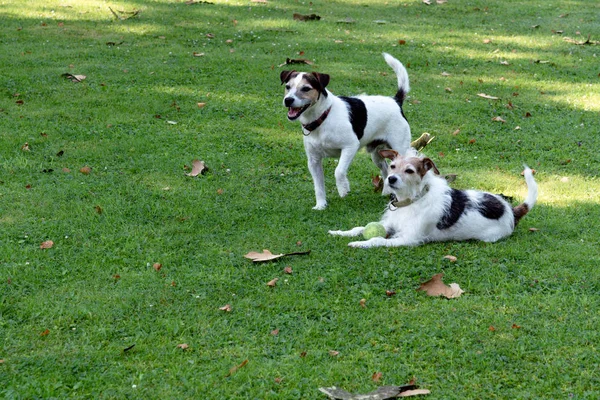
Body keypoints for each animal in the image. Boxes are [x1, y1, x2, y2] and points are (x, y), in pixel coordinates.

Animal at [282, 52, 412, 212]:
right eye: (287, 87)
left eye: (306, 88)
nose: (288, 100)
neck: (323, 117)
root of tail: (396, 101)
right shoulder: (313, 161)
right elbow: (318, 186)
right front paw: (321, 205)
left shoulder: (350, 146)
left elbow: (338, 171)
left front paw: (343, 189)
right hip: (377, 154)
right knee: (387, 170)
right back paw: (387, 192)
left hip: (400, 148)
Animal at [328, 150, 540, 247]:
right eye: (393, 166)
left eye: (410, 170)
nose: (391, 179)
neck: (411, 200)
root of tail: (510, 209)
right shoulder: (391, 225)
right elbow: (359, 228)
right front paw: (339, 232)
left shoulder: (408, 238)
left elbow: (377, 239)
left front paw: (360, 244)